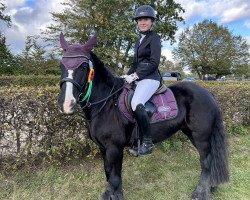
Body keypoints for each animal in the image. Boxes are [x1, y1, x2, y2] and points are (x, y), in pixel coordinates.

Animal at [57, 33, 229, 199]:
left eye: (84, 66)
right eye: (61, 65)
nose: (66, 104)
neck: (107, 104)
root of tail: (207, 93)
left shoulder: (114, 148)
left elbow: (114, 177)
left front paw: (115, 196)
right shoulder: (103, 148)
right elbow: (108, 173)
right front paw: (111, 194)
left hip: (201, 136)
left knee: (206, 162)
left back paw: (200, 193)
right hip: (192, 133)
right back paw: (211, 187)